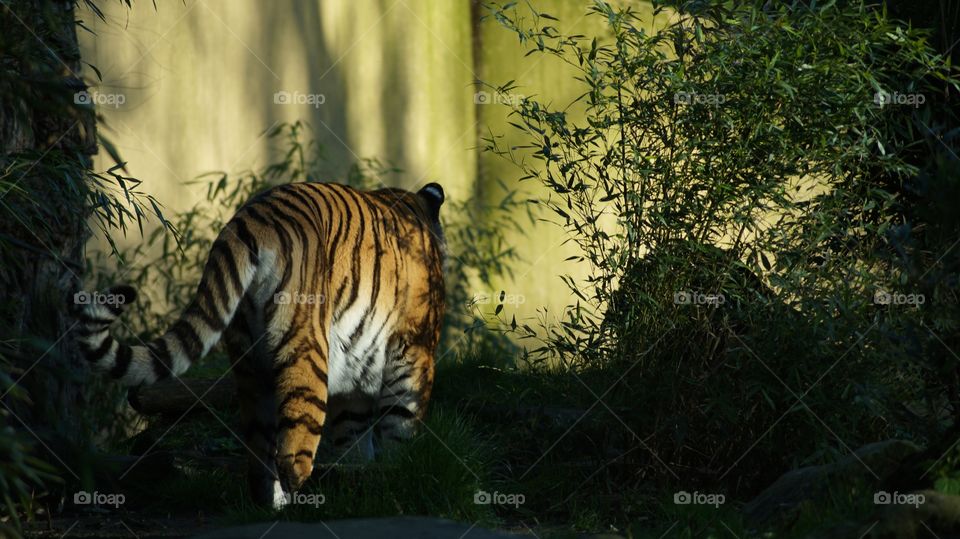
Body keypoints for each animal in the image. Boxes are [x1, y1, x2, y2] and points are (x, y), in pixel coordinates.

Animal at [72, 181, 446, 509]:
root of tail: (252, 218)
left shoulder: (356, 380)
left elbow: (353, 437)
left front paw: (362, 477)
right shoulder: (414, 350)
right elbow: (400, 422)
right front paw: (394, 474)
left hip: (250, 362)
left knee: (258, 449)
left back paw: (271, 505)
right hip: (306, 347)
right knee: (292, 447)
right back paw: (303, 500)